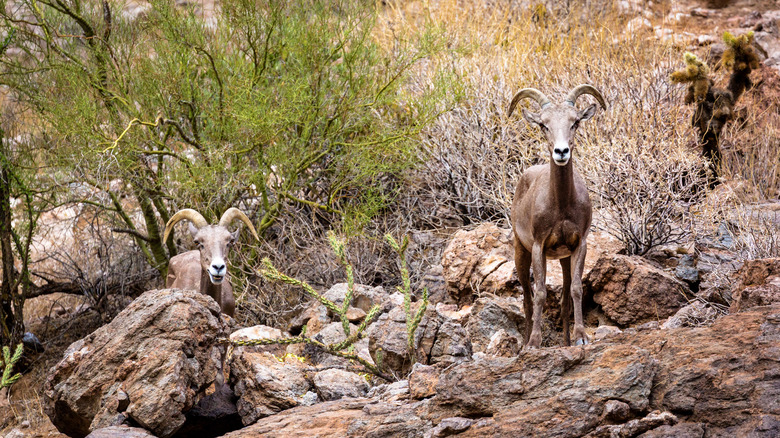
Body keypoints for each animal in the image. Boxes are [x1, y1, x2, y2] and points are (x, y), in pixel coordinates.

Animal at [506, 84, 608, 348]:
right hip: (520, 253)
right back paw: (524, 344)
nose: (561, 151)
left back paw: (566, 343)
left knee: (563, 302)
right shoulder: (538, 247)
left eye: (575, 122)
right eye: (544, 124)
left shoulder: (579, 244)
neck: (561, 206)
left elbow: (576, 290)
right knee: (527, 300)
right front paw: (534, 343)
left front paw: (580, 338)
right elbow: (541, 293)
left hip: (563, 259)